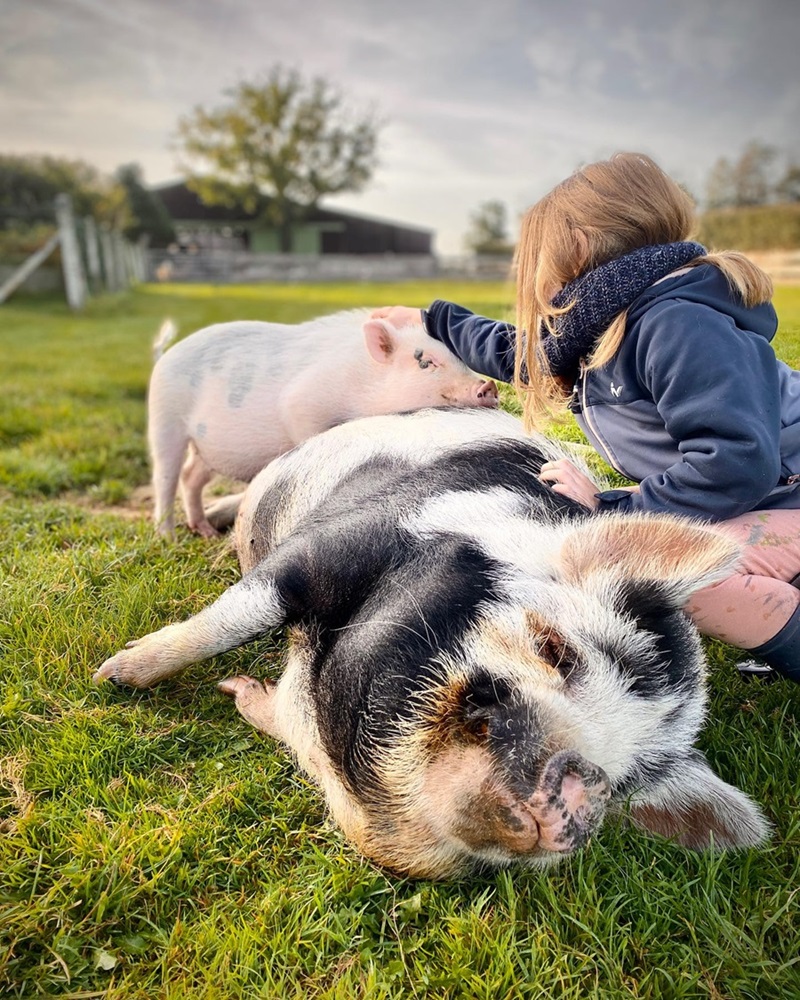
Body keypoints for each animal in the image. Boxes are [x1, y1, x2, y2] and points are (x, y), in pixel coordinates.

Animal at [97, 410, 772, 880]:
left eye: (625, 783)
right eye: (557, 651)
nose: (580, 787)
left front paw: (237, 691)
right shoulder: (342, 541)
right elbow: (237, 614)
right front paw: (112, 676)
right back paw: (197, 530)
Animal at [144, 308, 494, 540]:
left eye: (461, 358)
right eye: (426, 362)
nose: (488, 386)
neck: (364, 381)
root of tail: (165, 355)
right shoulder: (301, 402)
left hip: (207, 450)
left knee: (191, 476)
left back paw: (205, 533)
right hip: (164, 417)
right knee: (165, 478)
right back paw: (168, 537)